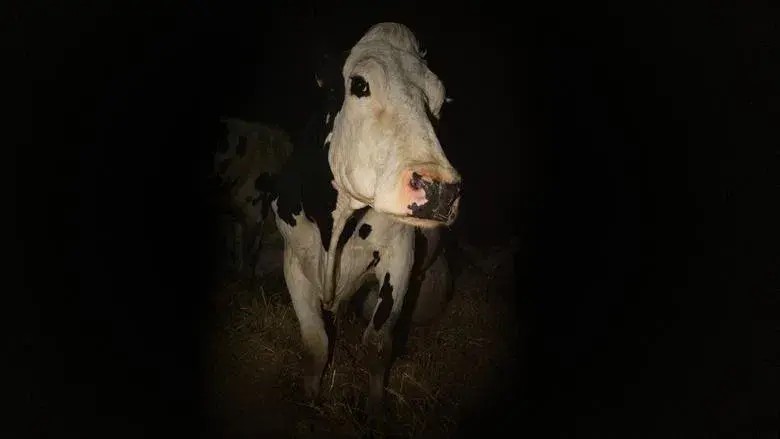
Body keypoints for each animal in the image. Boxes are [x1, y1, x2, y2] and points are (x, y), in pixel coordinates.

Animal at [270, 22, 462, 418]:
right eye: (360, 84)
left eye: (439, 100)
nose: (440, 189)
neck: (335, 227)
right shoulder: (293, 260)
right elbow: (315, 342)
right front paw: (309, 402)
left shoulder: (399, 257)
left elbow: (377, 343)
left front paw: (374, 411)